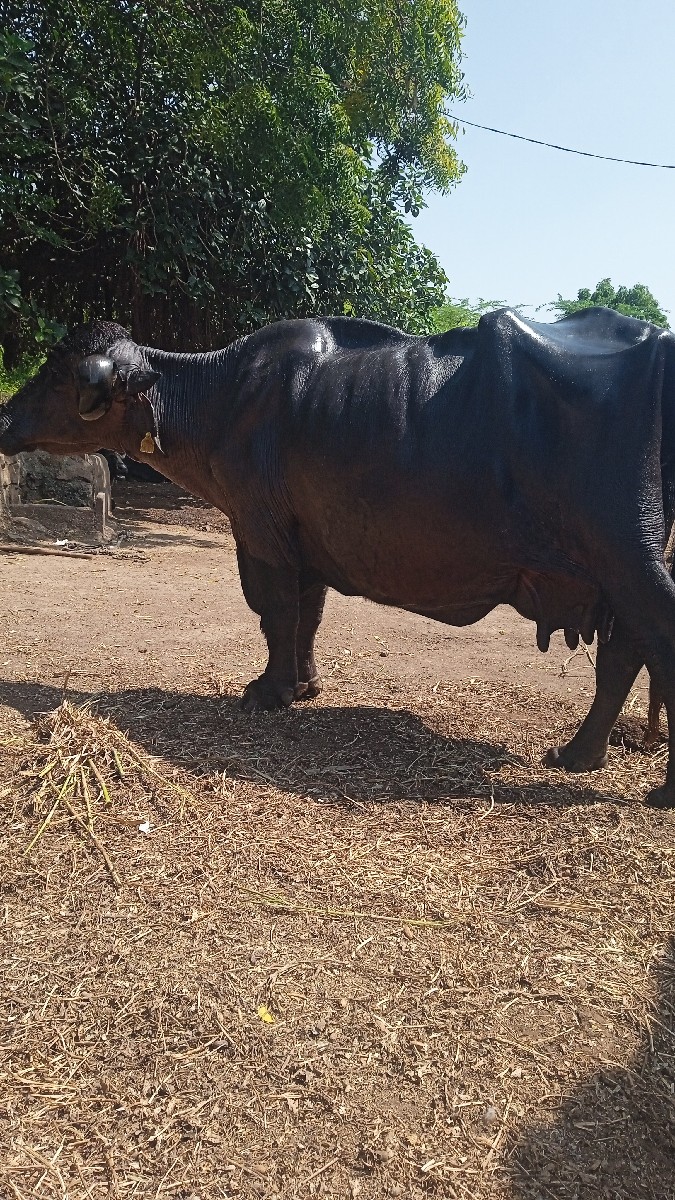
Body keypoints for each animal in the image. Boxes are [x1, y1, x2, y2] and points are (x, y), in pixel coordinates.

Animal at [1, 309, 674, 805]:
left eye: (60, 377)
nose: (5, 415)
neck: (223, 399)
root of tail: (654, 339)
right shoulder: (307, 541)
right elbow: (308, 613)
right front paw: (304, 683)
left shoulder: (261, 533)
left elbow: (276, 611)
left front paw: (270, 690)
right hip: (621, 571)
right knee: (624, 655)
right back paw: (581, 754)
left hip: (629, 555)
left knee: (651, 643)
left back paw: (655, 788)